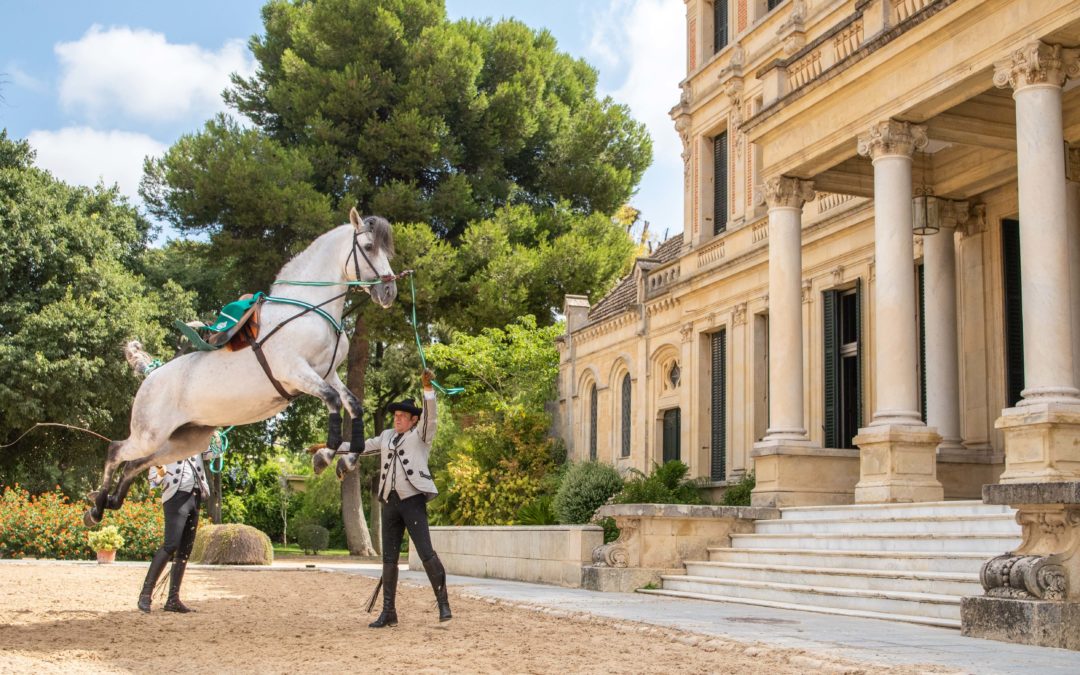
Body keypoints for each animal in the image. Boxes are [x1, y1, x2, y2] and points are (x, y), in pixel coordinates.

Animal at [85, 208, 397, 524]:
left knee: (134, 463)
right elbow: (333, 400)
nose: (389, 291)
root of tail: (151, 373)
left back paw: (111, 503)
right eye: (369, 247)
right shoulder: (295, 371)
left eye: (388, 251)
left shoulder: (327, 373)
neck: (308, 309)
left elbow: (353, 405)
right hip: (149, 434)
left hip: (185, 440)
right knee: (116, 451)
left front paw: (346, 460)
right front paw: (323, 456)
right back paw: (97, 507)